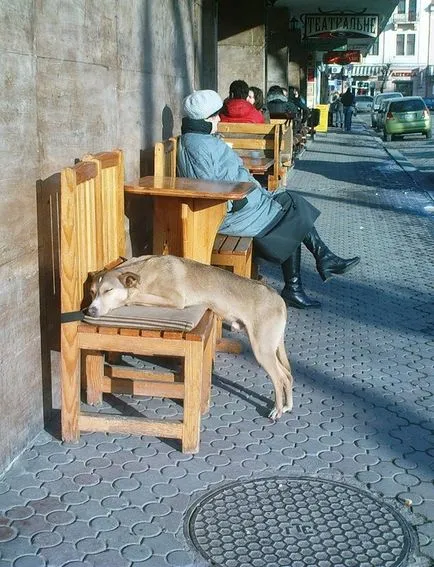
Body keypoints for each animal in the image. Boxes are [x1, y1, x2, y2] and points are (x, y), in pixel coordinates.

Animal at [87, 255, 294, 420]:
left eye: (108, 291)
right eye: (92, 292)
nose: (90, 310)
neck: (145, 270)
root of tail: (279, 299)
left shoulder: (175, 300)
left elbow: (135, 297)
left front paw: (130, 297)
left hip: (262, 350)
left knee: (280, 378)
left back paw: (277, 409)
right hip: (269, 348)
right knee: (288, 375)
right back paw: (287, 405)